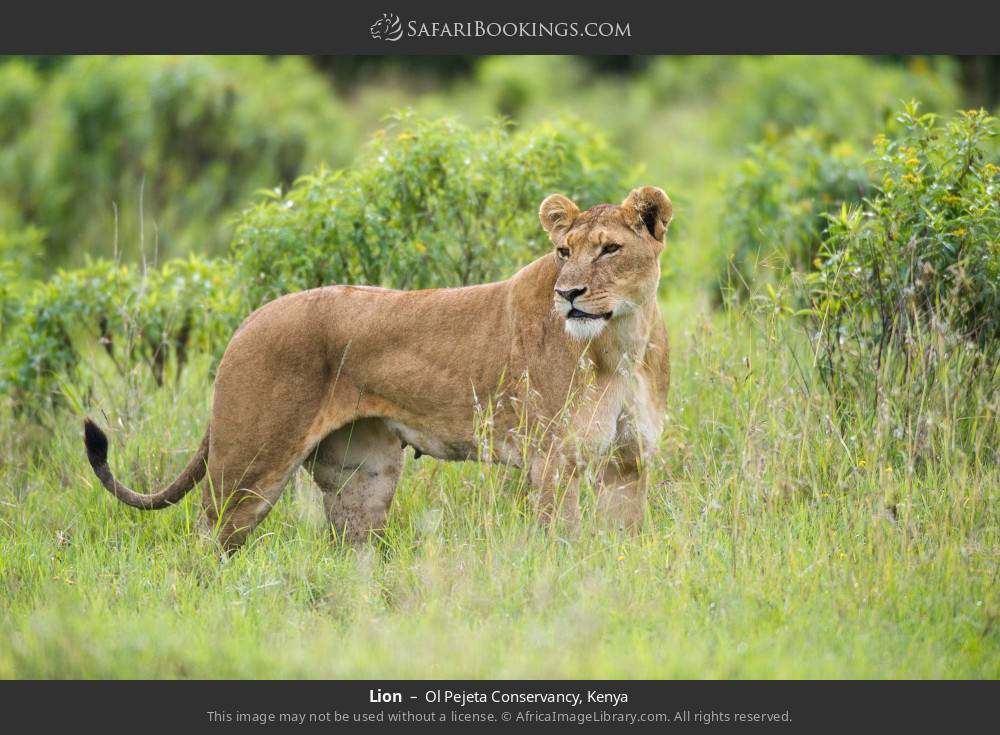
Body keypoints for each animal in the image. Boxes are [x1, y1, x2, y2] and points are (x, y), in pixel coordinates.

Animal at [83, 186, 673, 550]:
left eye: (609, 250)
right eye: (563, 251)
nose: (568, 294)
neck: (620, 343)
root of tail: (246, 321)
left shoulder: (628, 463)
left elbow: (622, 541)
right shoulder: (553, 460)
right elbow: (561, 544)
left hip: (362, 476)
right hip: (247, 466)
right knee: (205, 541)